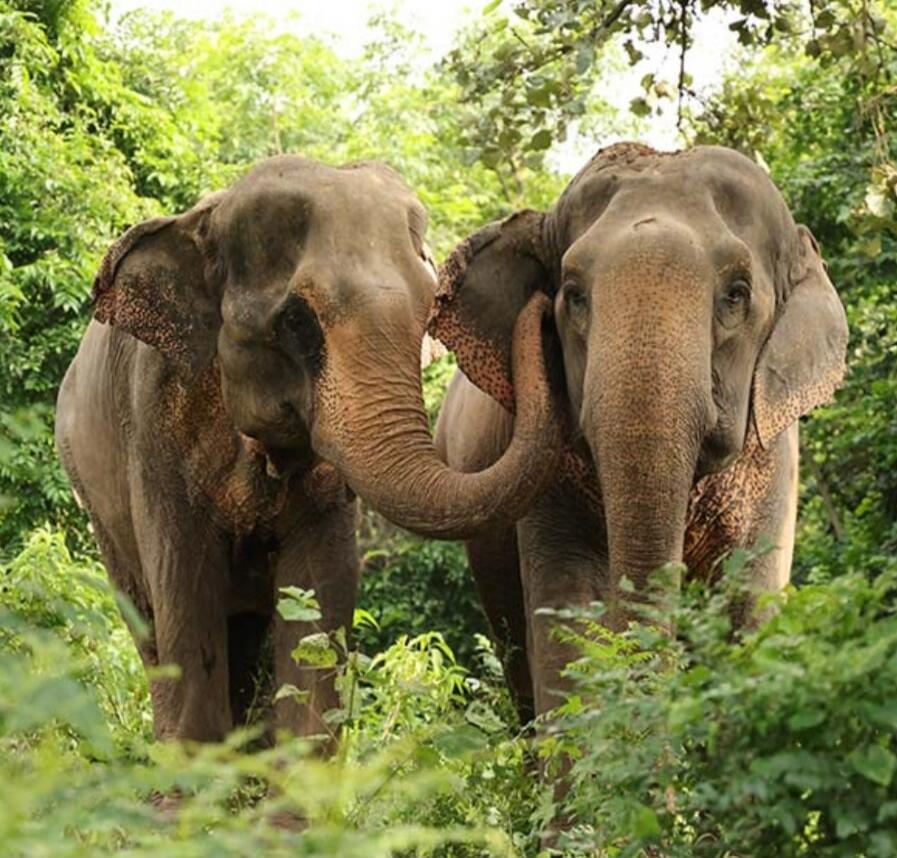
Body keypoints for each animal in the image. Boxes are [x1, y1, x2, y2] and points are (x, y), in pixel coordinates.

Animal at [55, 155, 560, 743]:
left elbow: (318, 604)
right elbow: (186, 603)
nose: (542, 302)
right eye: (296, 320)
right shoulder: (154, 420)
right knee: (151, 626)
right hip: (98, 508)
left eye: (429, 315)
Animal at [432, 142, 848, 723]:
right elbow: (570, 607)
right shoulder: (550, 480)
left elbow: (750, 598)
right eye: (573, 295)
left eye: (737, 294)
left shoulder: (774, 461)